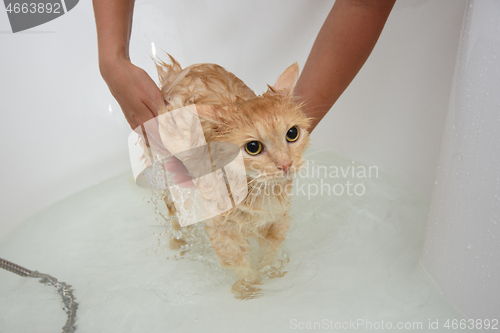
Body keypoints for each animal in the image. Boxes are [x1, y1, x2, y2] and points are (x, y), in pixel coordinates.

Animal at [154, 55, 308, 298]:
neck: (255, 190)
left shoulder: (277, 220)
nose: (285, 164)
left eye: (292, 134)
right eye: (253, 147)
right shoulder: (223, 233)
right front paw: (249, 289)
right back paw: (178, 244)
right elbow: (243, 267)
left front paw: (273, 272)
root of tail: (176, 72)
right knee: (175, 219)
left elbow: (269, 254)